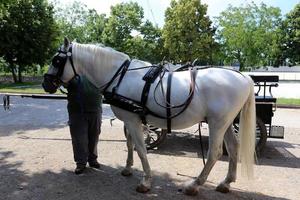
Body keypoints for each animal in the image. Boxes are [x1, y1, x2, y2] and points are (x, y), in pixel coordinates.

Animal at [42, 38, 255, 195]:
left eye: (56, 60)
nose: (46, 84)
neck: (120, 76)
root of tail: (244, 77)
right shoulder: (130, 120)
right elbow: (130, 145)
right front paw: (128, 169)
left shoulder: (133, 120)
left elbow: (141, 149)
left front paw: (145, 182)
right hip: (225, 123)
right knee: (233, 148)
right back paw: (226, 182)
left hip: (217, 123)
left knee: (215, 153)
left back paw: (194, 185)